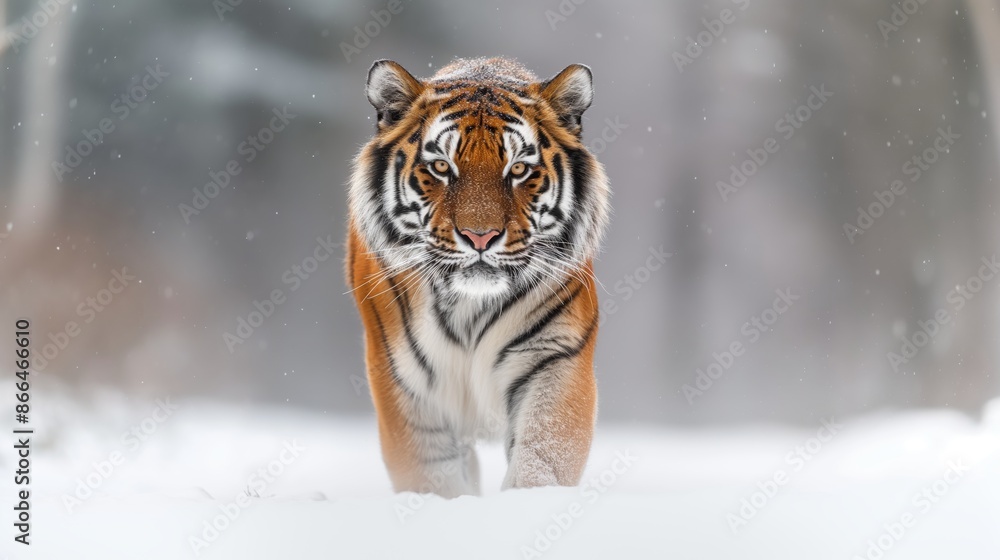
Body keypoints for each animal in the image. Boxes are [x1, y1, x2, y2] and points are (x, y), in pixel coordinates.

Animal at [346, 57, 611, 496]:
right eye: (441, 166)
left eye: (518, 169)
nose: (480, 236)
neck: (469, 308)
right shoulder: (404, 382)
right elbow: (431, 477)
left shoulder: (555, 358)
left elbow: (543, 457)